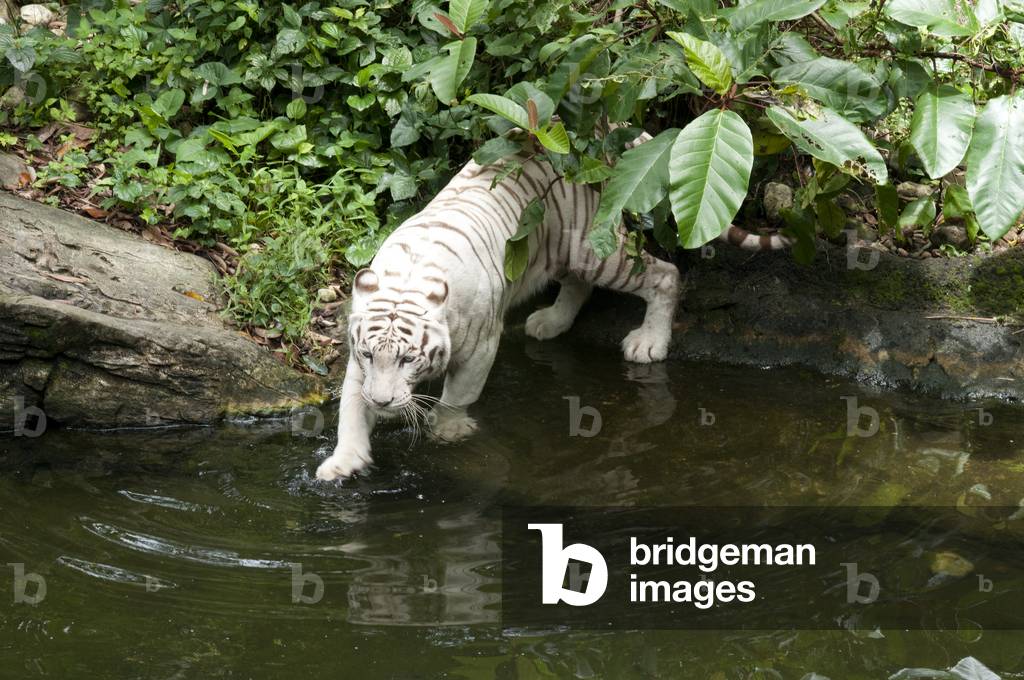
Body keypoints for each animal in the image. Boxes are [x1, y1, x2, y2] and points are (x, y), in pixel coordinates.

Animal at [315, 140, 791, 481]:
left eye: (409, 359)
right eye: (370, 354)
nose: (384, 402)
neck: (409, 280)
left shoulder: (481, 346)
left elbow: (459, 394)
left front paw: (448, 429)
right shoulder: (360, 364)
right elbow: (350, 410)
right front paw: (343, 462)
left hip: (595, 249)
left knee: (663, 274)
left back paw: (648, 342)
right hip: (558, 249)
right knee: (578, 284)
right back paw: (549, 322)